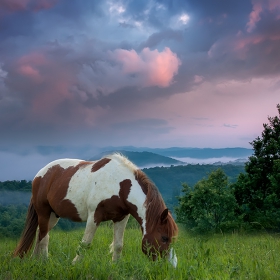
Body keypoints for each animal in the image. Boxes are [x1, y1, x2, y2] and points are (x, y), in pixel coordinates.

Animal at [13, 153, 178, 266]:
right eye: (164, 237)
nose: (169, 267)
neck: (120, 186)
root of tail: (40, 174)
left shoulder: (121, 218)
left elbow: (118, 245)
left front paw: (115, 266)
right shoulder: (94, 216)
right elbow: (85, 243)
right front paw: (75, 264)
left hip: (53, 216)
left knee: (40, 234)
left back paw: (35, 260)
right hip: (43, 212)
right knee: (44, 237)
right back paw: (43, 261)